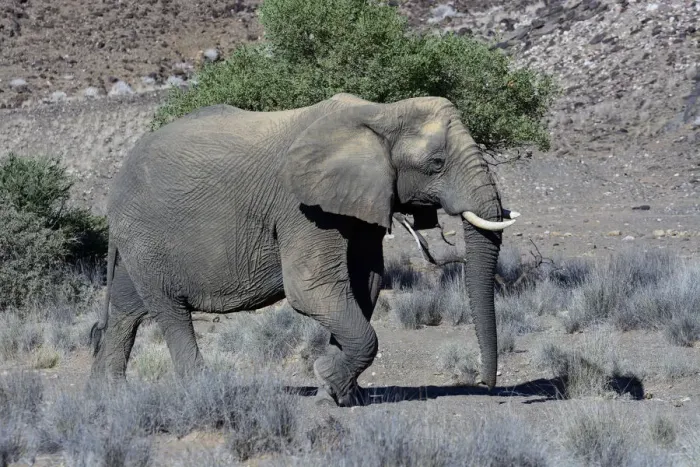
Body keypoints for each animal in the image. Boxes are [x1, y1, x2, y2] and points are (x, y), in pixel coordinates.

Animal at [88, 92, 519, 407]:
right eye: (437, 162)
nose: (488, 387)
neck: (380, 114)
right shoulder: (301, 208)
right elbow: (311, 290)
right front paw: (327, 380)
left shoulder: (359, 202)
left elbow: (365, 284)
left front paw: (342, 394)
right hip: (145, 233)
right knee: (168, 309)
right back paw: (202, 391)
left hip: (138, 239)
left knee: (128, 307)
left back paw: (110, 395)